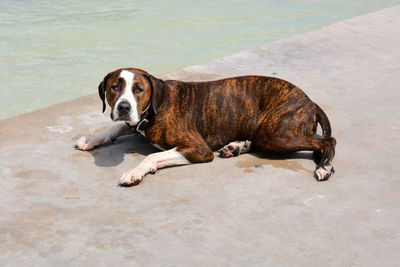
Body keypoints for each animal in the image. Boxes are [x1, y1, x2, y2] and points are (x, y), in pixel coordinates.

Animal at [74, 68, 334, 187]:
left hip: (275, 134)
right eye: (115, 87)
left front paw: (135, 172)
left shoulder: (198, 149)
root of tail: (309, 101)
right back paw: (236, 146)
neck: (156, 107)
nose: (124, 107)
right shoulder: (135, 122)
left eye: (139, 89)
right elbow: (115, 129)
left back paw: (324, 167)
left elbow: (152, 156)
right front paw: (91, 138)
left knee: (327, 142)